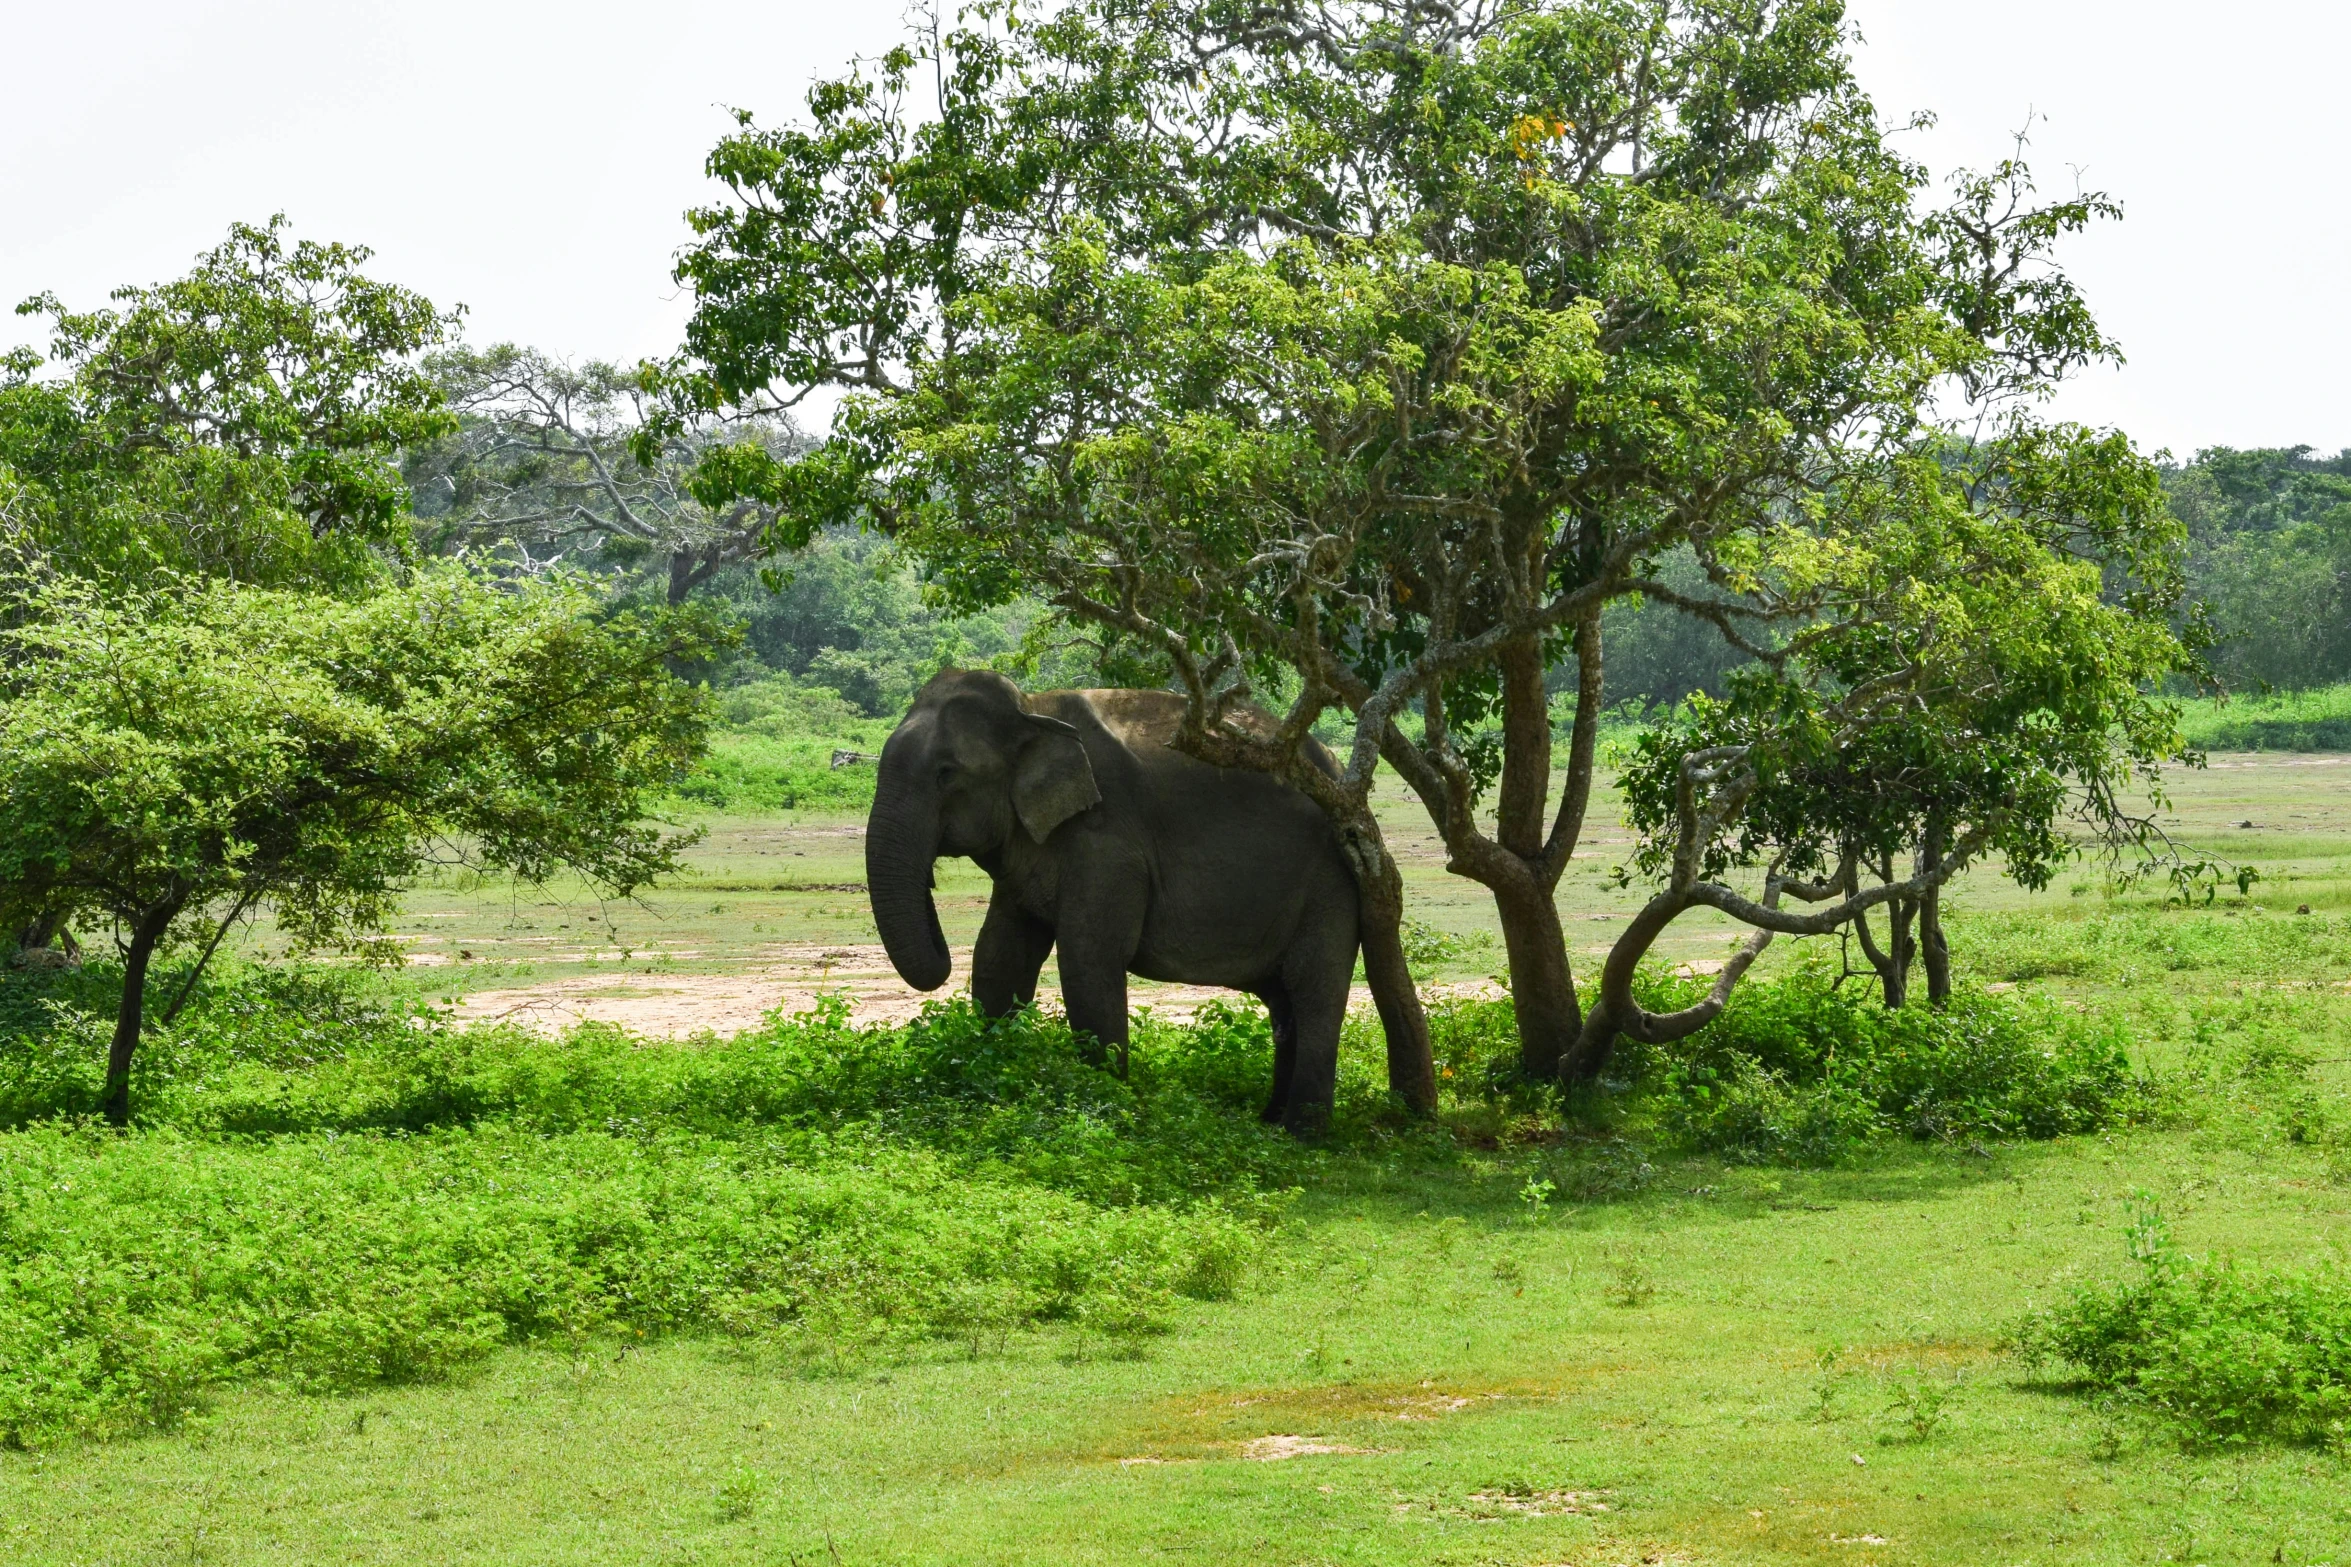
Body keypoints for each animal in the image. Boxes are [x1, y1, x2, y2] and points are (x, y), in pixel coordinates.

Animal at [869, 667, 1363, 1132]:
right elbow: (999, 956)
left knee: (1314, 993)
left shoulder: (1107, 839)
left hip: (1332, 884)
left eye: (946, 773)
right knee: (1285, 1001)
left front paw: (1104, 1104)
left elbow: (1089, 958)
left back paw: (1301, 1133)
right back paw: (1271, 1122)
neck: (1032, 709)